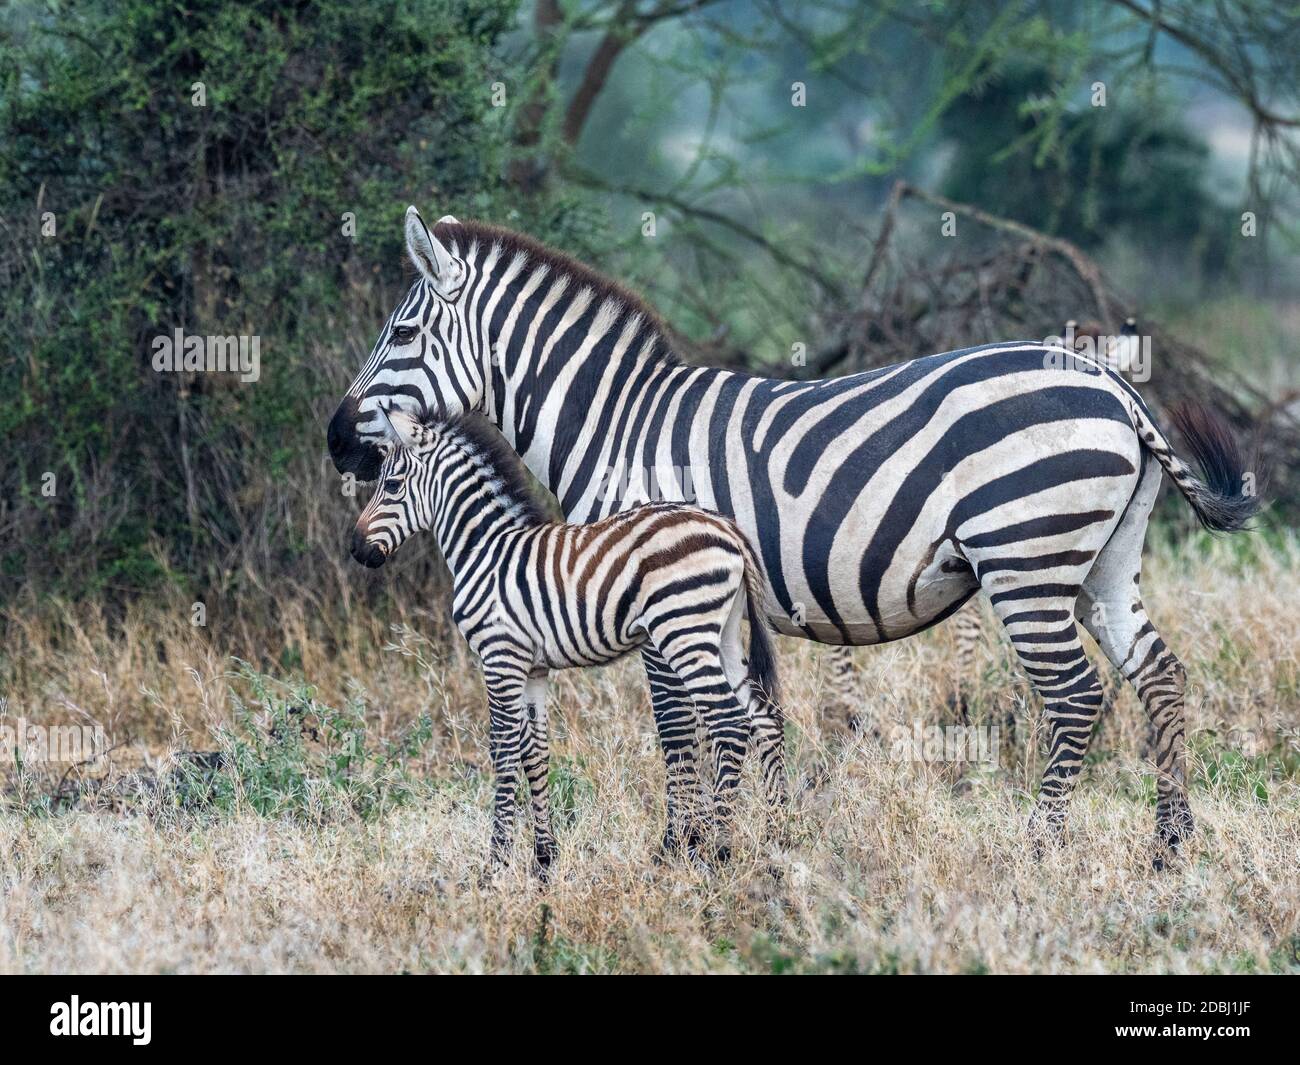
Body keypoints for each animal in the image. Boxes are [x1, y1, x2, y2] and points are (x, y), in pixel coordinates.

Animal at [351, 410, 785, 873]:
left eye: (392, 485)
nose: (356, 550)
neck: (486, 550)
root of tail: (728, 527)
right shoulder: (533, 669)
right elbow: (535, 754)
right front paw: (544, 859)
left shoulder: (499, 657)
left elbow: (503, 752)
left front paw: (497, 860)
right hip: (722, 635)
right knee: (760, 716)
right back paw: (776, 832)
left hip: (683, 630)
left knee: (728, 720)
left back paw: (720, 849)